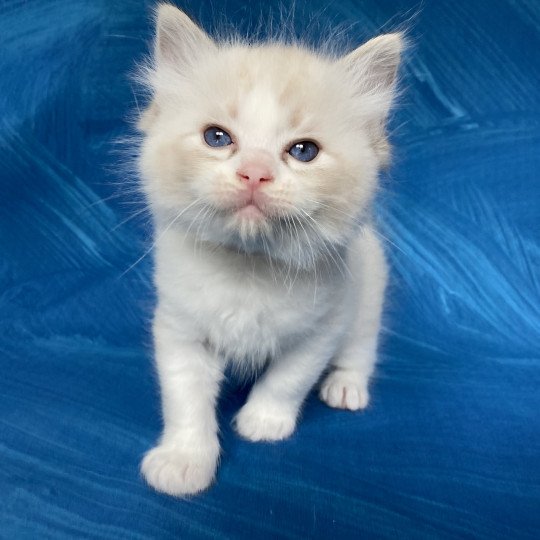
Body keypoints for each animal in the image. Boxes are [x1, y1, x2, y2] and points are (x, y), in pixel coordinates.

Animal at [137, 3, 402, 498]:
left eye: (303, 151)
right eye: (217, 138)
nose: (255, 173)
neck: (249, 266)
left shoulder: (324, 325)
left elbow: (289, 378)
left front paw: (263, 421)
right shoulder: (179, 327)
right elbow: (185, 399)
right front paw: (184, 461)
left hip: (368, 290)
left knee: (362, 346)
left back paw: (346, 387)